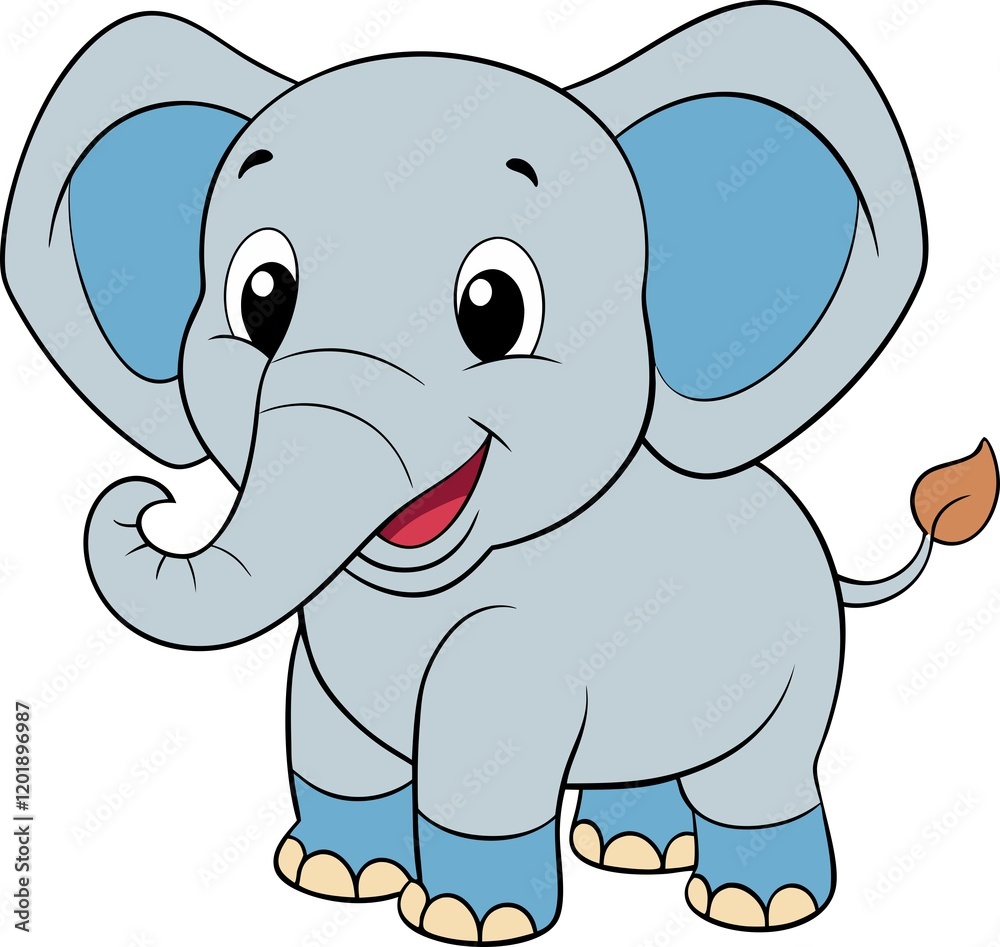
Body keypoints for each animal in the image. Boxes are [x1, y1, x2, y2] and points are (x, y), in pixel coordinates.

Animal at [4, 3, 998, 941]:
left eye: (494, 307)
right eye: (261, 299)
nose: (148, 497)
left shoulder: (518, 648)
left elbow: (480, 760)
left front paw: (465, 920)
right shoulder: (323, 636)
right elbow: (324, 730)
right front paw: (332, 877)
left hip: (799, 665)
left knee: (761, 773)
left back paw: (754, 903)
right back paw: (630, 848)